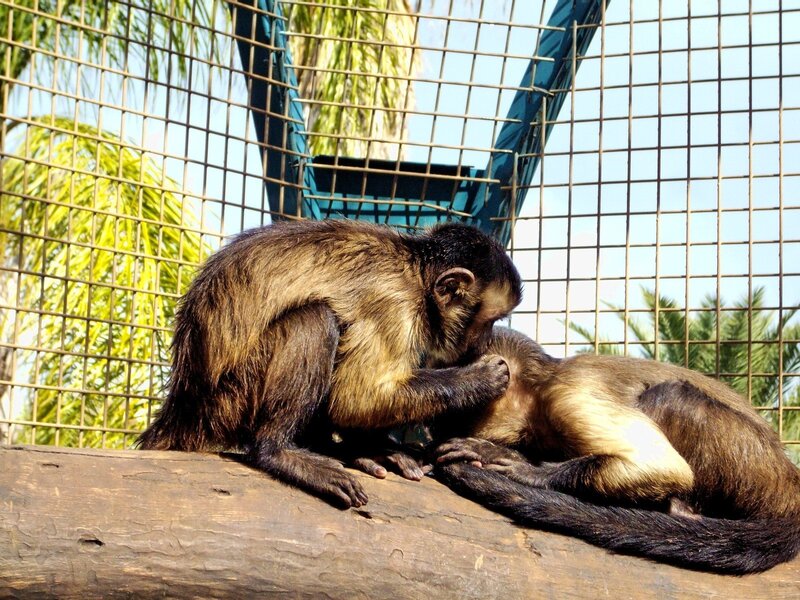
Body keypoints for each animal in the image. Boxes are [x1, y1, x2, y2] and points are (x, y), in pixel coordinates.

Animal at [137, 219, 522, 508]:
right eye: (489, 321)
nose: (484, 341)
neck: (415, 275)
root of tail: (182, 407)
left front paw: (373, 448)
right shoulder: (395, 303)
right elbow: (355, 399)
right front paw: (478, 379)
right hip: (230, 398)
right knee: (316, 318)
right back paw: (278, 452)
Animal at [433, 327, 800, 574]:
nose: (438, 432)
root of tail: (791, 482)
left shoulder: (567, 395)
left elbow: (663, 467)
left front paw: (524, 468)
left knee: (673, 396)